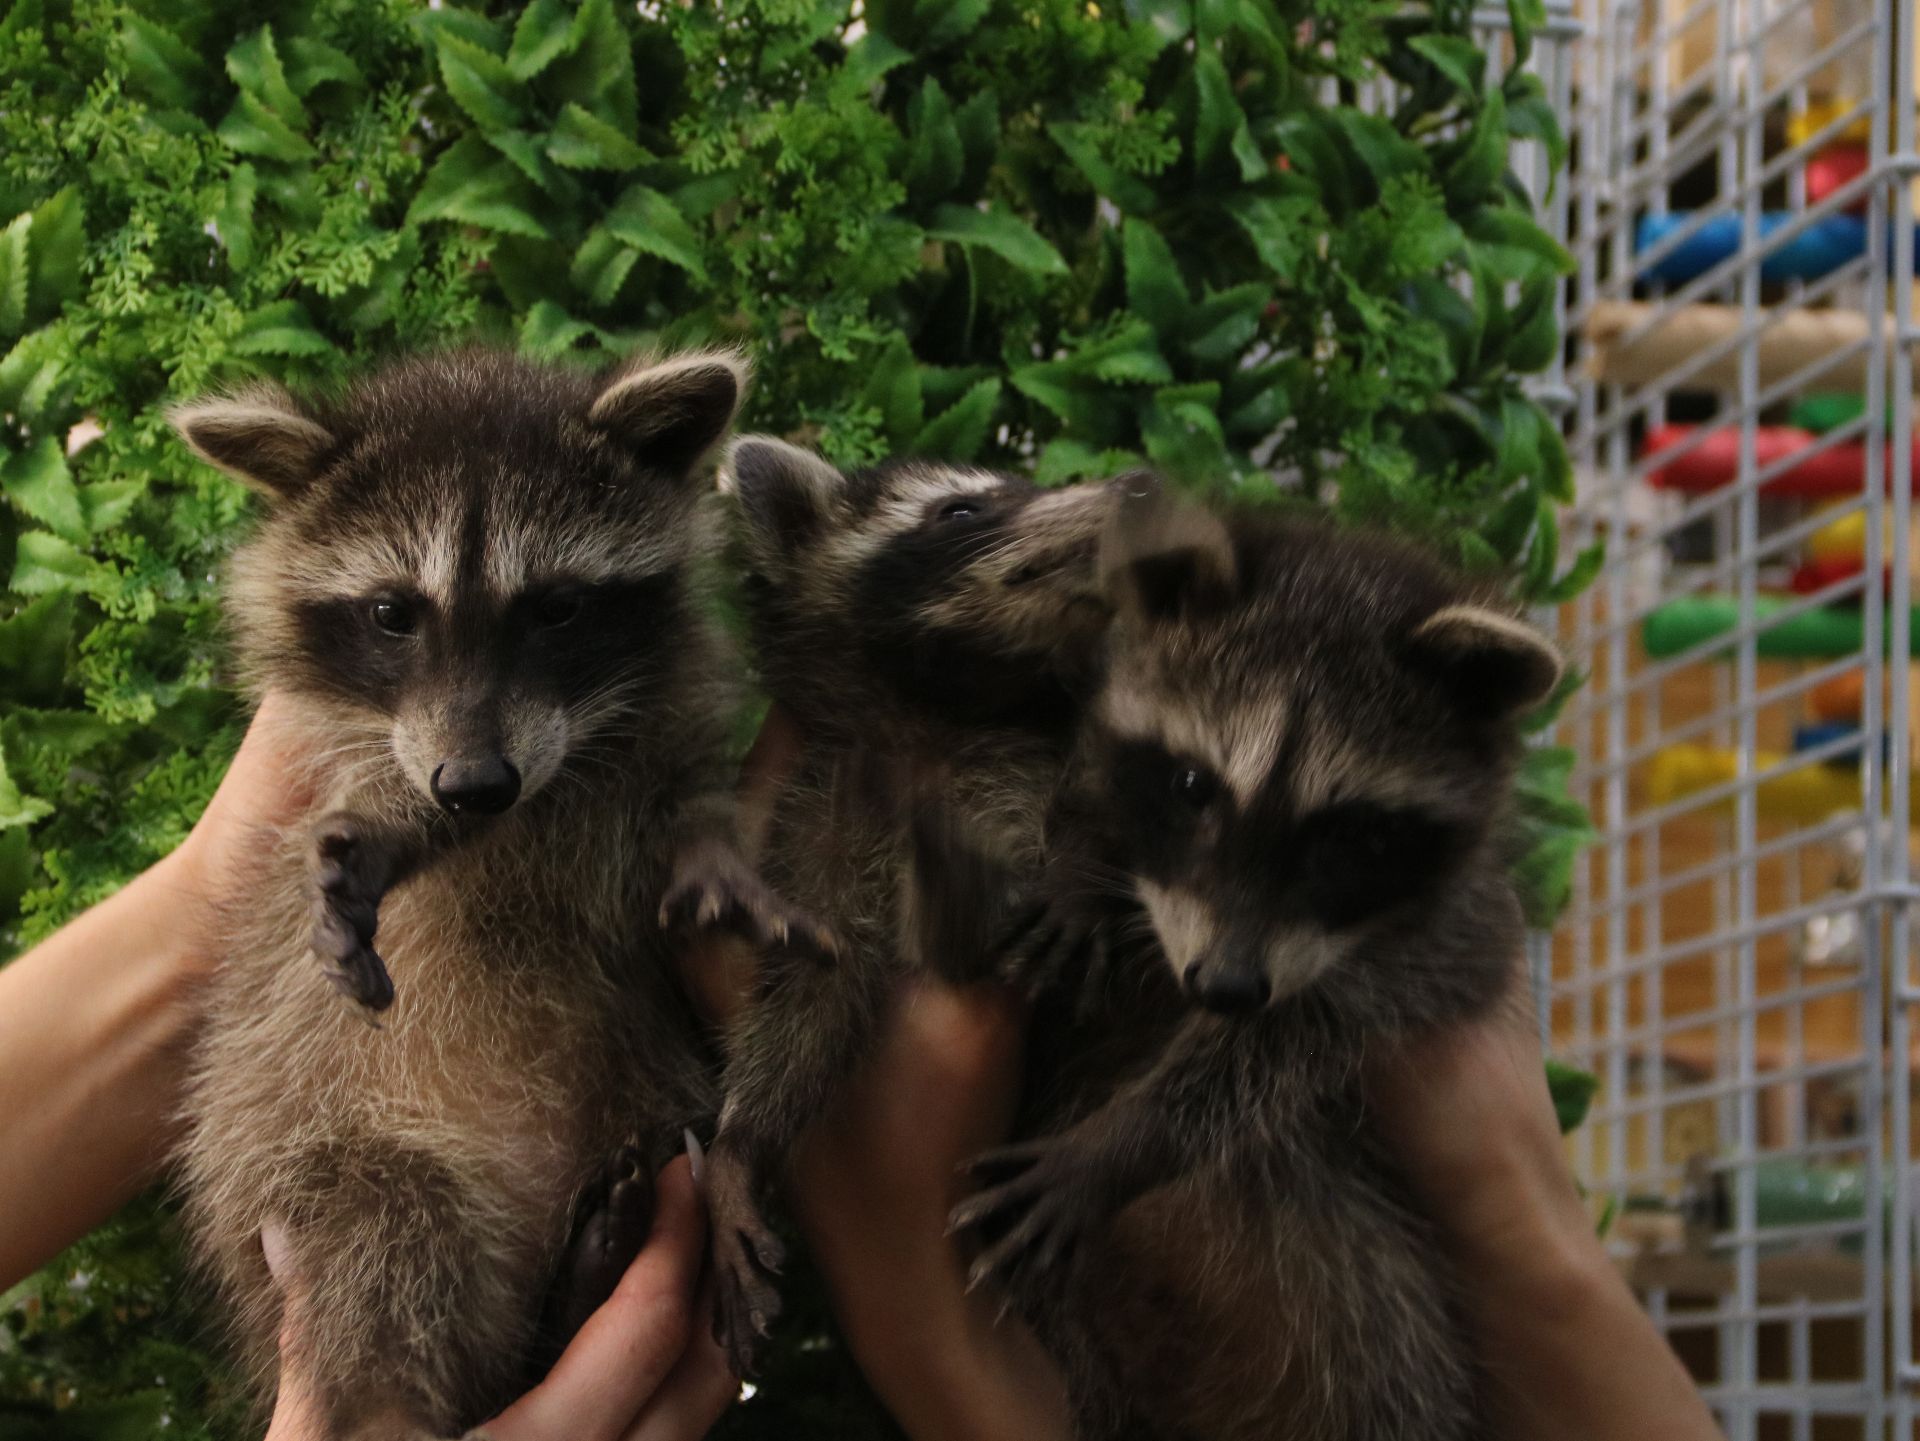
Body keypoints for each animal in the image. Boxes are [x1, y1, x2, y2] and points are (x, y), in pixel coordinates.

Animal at [161, 349, 798, 1441]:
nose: (474, 783)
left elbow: (692, 805)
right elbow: (380, 816)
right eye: (391, 613)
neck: (549, 784)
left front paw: (710, 855)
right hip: (315, 1162)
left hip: (644, 1082)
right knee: (384, 1240)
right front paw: (388, 838)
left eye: (555, 607)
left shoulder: (657, 734)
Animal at [702, 437, 1121, 1373]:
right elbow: (812, 986)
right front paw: (742, 1140)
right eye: (960, 509)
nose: (1139, 487)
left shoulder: (1020, 768)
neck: (938, 713)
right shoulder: (823, 813)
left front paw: (1082, 867)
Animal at [952, 485, 1566, 1441]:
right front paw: (1084, 861)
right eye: (1194, 786)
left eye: (1351, 836)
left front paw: (1126, 1141)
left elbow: (1288, 1044)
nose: (1228, 986)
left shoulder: (1445, 939)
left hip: (1381, 1318)